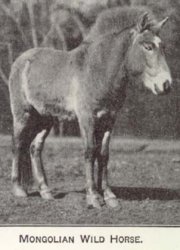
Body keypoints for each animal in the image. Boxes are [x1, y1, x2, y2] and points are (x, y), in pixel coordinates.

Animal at [8, 6, 172, 209]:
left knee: (34, 148)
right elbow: (89, 151)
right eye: (148, 46)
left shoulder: (109, 120)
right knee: (17, 144)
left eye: (162, 47)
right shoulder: (87, 119)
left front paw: (109, 196)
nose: (166, 85)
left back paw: (46, 191)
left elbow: (103, 154)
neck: (98, 71)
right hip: (22, 115)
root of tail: (21, 60)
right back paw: (18, 190)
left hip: (46, 119)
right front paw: (93, 196)